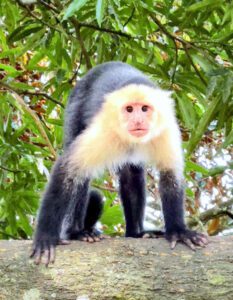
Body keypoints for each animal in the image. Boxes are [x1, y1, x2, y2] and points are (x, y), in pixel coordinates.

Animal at [30, 61, 208, 264]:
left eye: (144, 109)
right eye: (129, 109)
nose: (137, 120)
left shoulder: (166, 127)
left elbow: (170, 175)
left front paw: (178, 231)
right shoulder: (104, 126)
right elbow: (66, 170)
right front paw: (45, 237)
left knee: (132, 174)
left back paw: (136, 234)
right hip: (75, 106)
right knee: (81, 175)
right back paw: (77, 232)